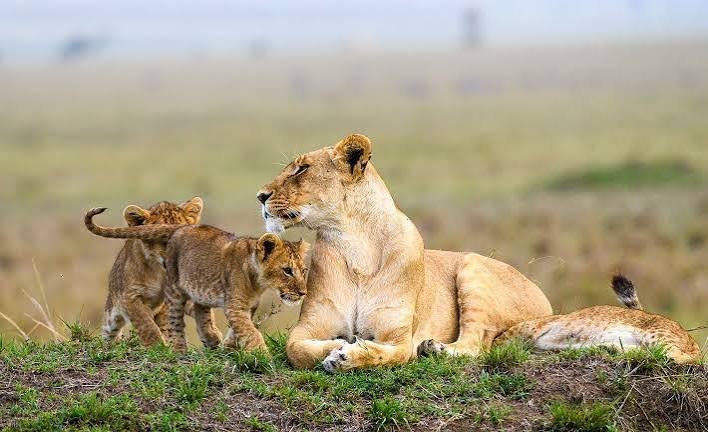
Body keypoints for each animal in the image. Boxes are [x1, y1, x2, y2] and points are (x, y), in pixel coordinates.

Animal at [256, 133, 553, 371]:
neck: (356, 245)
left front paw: (346, 356)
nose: (260, 195)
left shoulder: (400, 338)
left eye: (302, 169)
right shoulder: (307, 326)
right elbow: (296, 349)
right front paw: (338, 344)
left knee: (475, 343)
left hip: (472, 266)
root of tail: (545, 302)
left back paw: (435, 349)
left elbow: (390, 354)